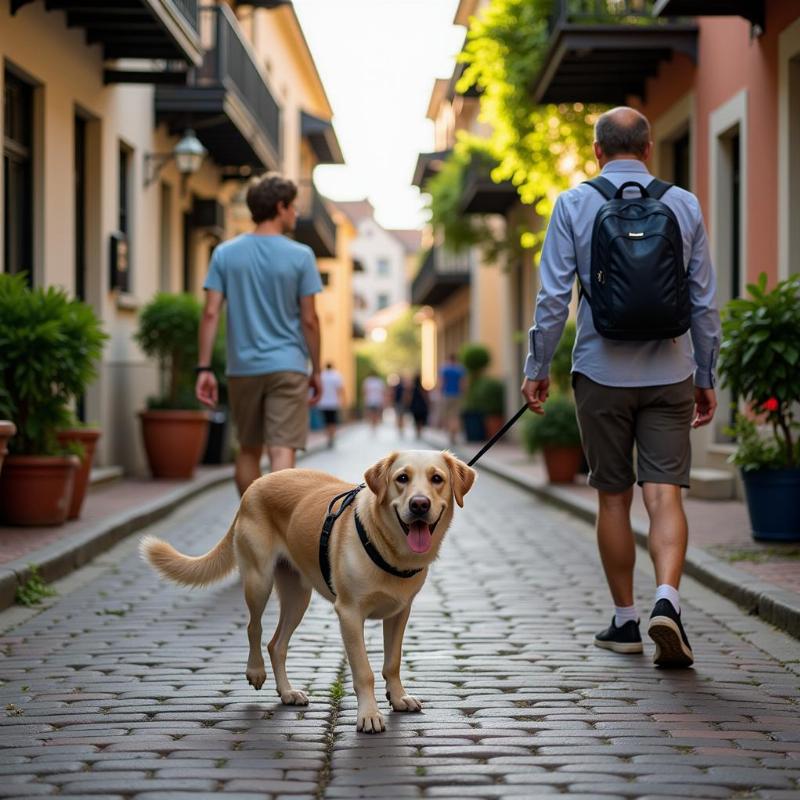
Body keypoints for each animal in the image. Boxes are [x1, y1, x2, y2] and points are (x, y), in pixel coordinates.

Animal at [140, 450, 476, 732]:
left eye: (437, 479)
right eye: (402, 478)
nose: (419, 504)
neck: (389, 547)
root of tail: (256, 483)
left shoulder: (399, 612)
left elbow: (391, 663)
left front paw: (398, 697)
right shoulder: (349, 614)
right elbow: (364, 671)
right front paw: (368, 715)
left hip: (297, 597)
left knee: (276, 644)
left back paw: (287, 692)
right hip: (259, 581)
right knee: (254, 628)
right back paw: (255, 671)